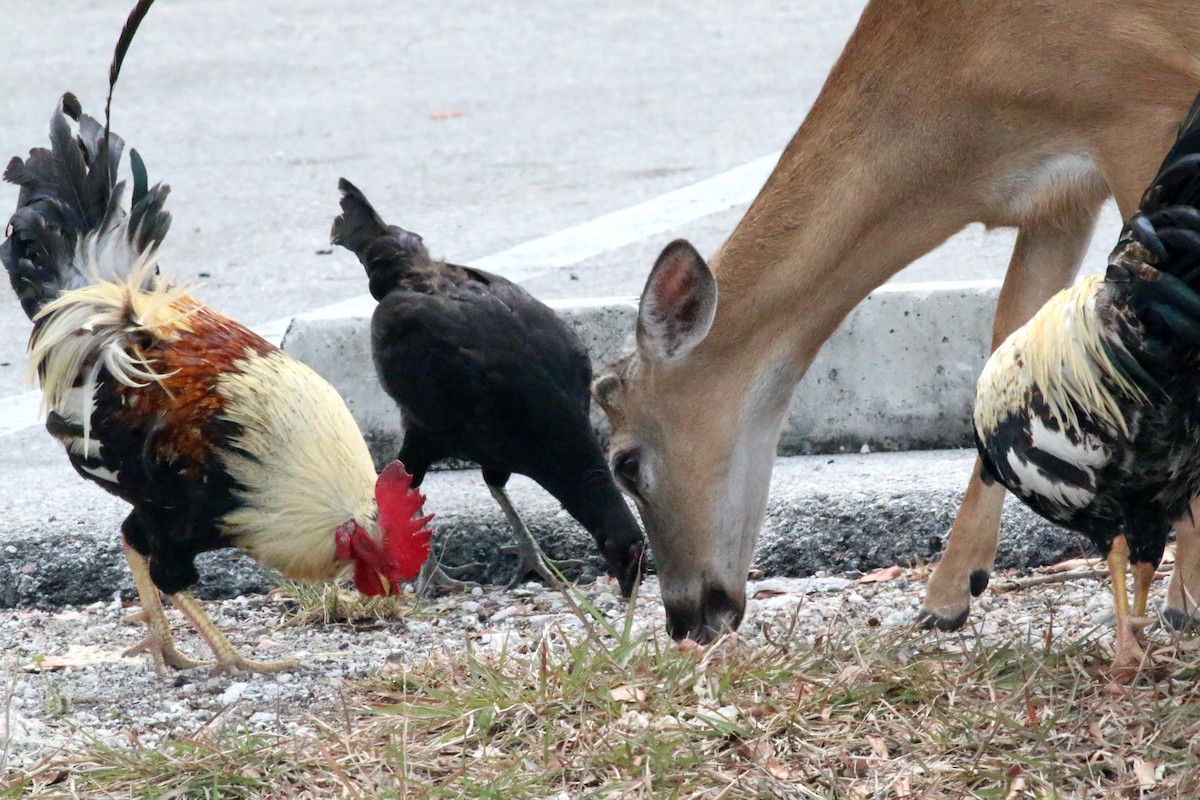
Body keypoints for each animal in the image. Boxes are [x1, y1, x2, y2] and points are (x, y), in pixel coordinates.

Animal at [595, 0, 1200, 642]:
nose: (685, 619)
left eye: (625, 463)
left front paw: (1185, 599)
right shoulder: (1056, 195)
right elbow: (1004, 347)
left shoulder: (1143, 108)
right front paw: (947, 595)